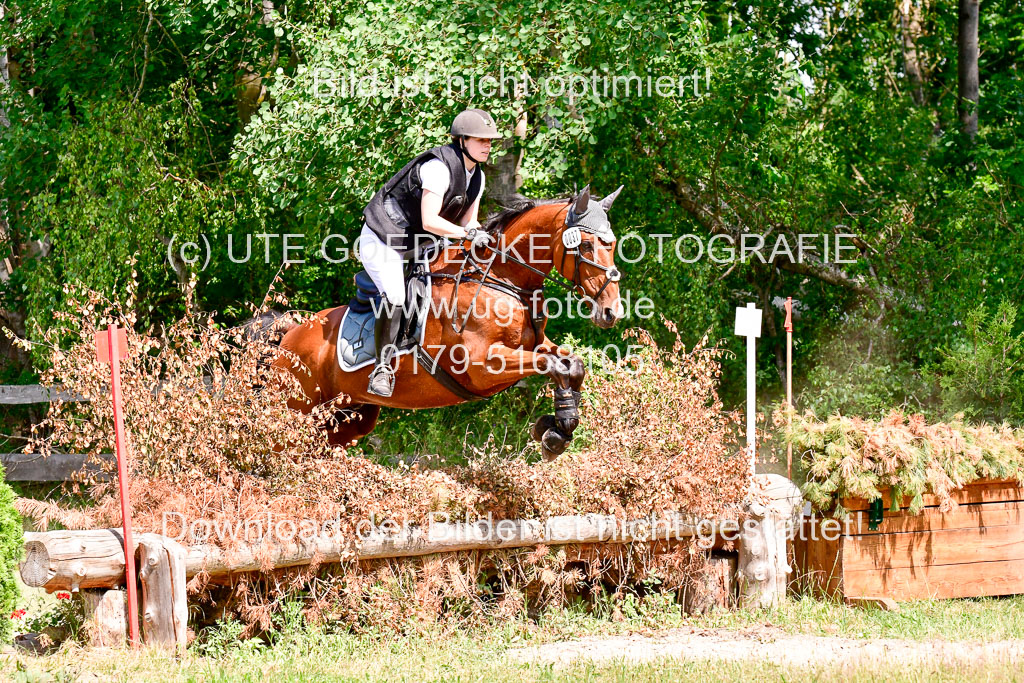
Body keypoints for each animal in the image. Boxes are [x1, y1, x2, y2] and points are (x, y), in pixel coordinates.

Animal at [274, 184, 622, 458]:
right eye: (585, 245)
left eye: (613, 244)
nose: (611, 312)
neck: (501, 278)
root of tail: (288, 337)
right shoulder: (482, 365)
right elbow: (555, 365)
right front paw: (555, 431)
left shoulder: (537, 345)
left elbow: (571, 364)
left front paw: (558, 428)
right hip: (296, 412)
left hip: (347, 417)